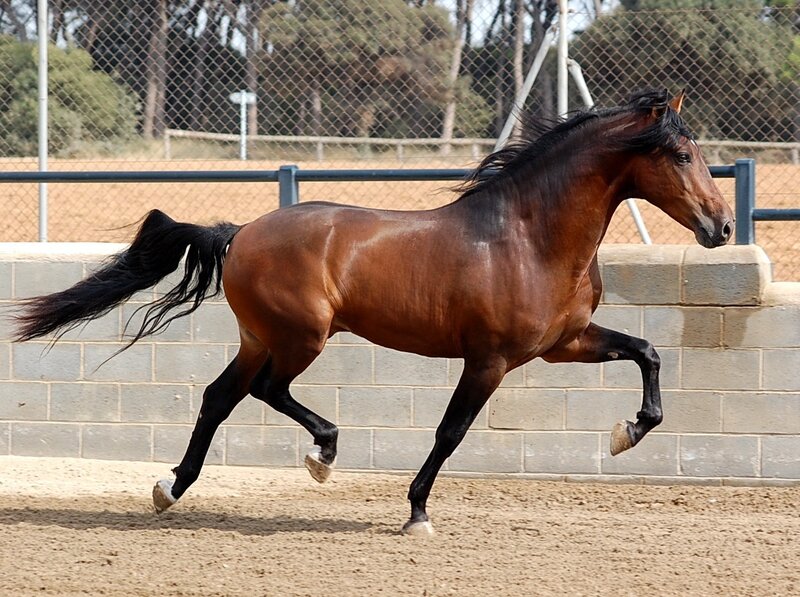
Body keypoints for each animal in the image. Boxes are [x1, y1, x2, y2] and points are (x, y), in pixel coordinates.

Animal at [13, 89, 733, 536]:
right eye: (679, 154)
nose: (722, 227)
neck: (528, 235)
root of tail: (240, 233)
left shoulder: (565, 342)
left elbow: (648, 352)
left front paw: (627, 432)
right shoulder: (491, 359)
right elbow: (450, 432)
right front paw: (417, 513)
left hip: (260, 336)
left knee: (220, 396)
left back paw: (171, 489)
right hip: (301, 335)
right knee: (268, 390)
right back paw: (322, 453)